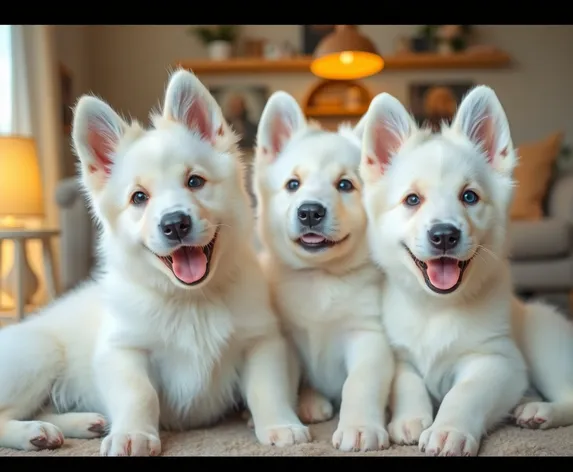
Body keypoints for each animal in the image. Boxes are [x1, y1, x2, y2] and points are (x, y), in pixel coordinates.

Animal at [0, 69, 310, 454]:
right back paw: (34, 431)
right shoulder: (124, 351)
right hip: (39, 355)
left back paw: (79, 423)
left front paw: (280, 425)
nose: (175, 224)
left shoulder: (262, 341)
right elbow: (140, 395)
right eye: (138, 197)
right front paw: (133, 434)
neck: (192, 301)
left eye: (195, 181)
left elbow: (267, 388)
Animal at [252, 91, 396, 450]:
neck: (321, 277)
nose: (309, 212)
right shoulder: (287, 340)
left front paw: (360, 427)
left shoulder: (368, 336)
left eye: (345, 185)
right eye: (293, 184)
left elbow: (360, 384)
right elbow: (278, 384)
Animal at [360, 86, 572, 456]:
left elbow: (464, 394)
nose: (444, 235)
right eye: (412, 200)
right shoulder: (400, 355)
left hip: (544, 339)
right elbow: (407, 382)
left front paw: (448, 429)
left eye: (469, 196)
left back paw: (539, 410)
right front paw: (408, 419)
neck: (436, 309)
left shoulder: (498, 360)